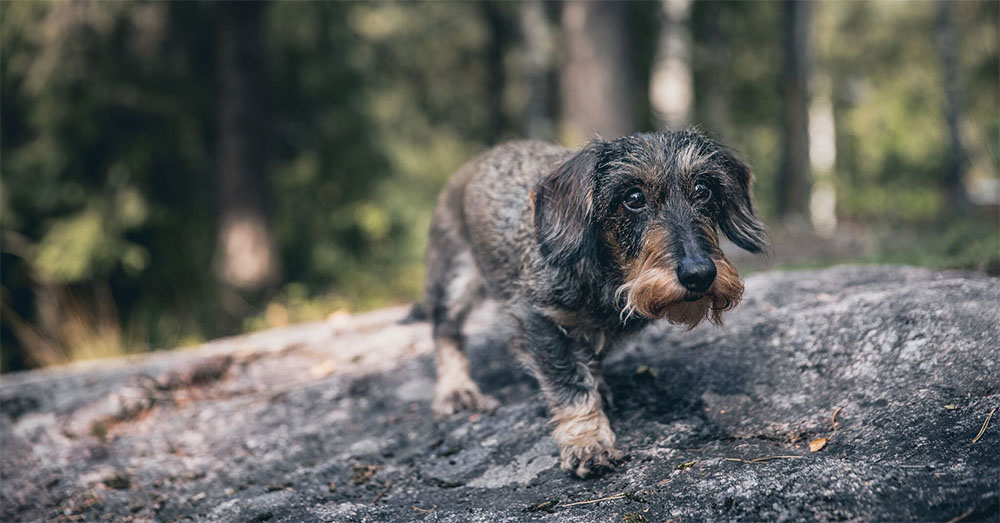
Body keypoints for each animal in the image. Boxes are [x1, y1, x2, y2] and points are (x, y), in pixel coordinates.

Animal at [422, 130, 764, 478]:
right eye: (633, 198)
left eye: (704, 190)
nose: (699, 274)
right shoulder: (539, 318)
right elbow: (570, 383)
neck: (609, 278)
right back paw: (457, 390)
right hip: (454, 277)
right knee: (445, 332)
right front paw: (588, 442)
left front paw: (598, 389)